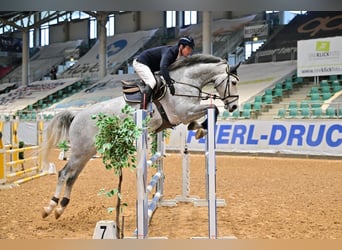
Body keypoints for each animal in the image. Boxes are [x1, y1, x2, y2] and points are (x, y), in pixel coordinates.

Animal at [40, 54, 240, 219]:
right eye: (234, 82)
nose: (234, 107)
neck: (185, 82)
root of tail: (76, 115)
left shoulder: (186, 114)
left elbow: (208, 112)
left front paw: (198, 129)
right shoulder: (183, 113)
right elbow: (213, 109)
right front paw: (200, 128)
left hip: (87, 152)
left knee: (72, 177)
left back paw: (60, 208)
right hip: (80, 151)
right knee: (64, 173)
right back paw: (50, 207)